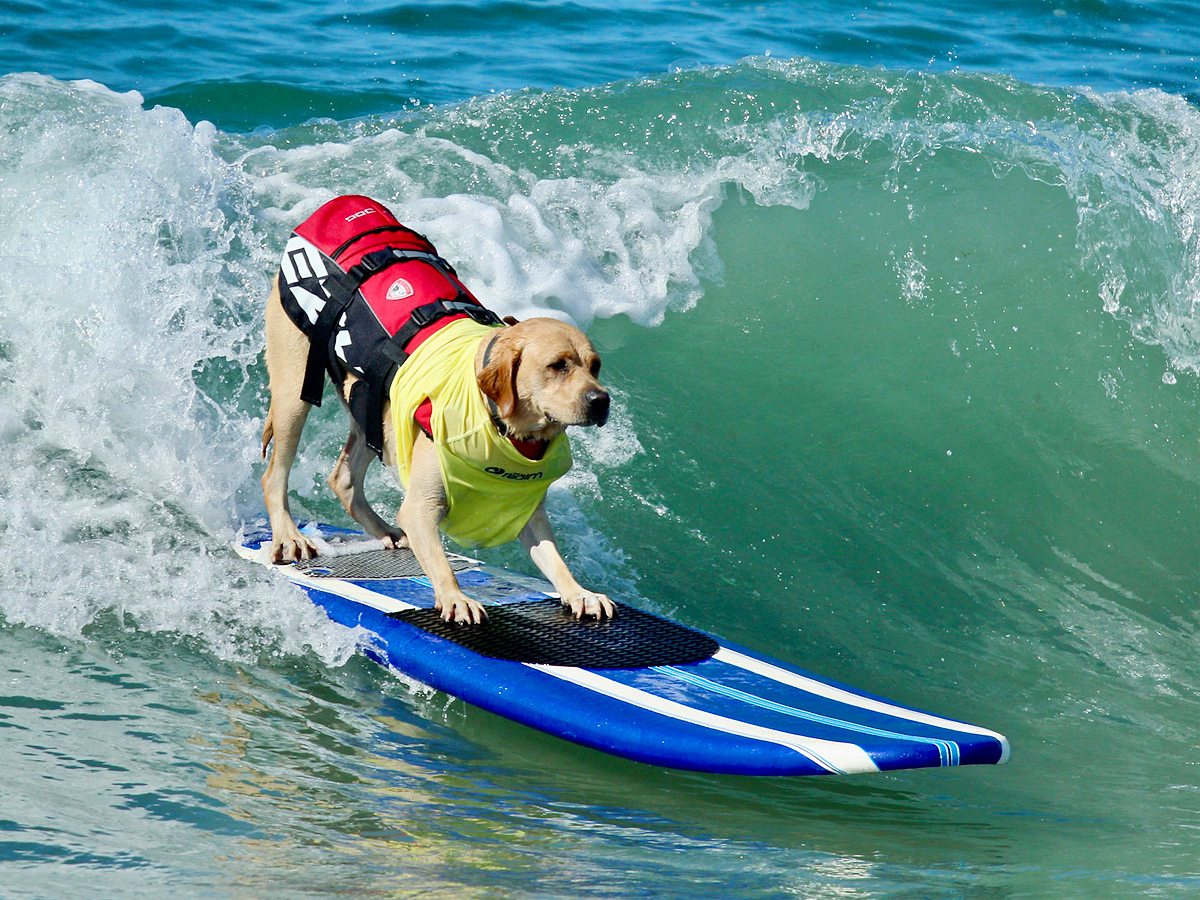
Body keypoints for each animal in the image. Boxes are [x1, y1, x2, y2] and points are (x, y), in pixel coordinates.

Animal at [264, 210, 619, 628]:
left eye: (595, 366)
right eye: (558, 365)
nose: (601, 401)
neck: (499, 423)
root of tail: (336, 208)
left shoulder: (528, 516)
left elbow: (555, 560)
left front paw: (579, 593)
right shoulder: (420, 508)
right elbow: (440, 562)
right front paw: (455, 597)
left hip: (369, 407)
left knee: (344, 479)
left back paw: (382, 530)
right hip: (293, 393)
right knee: (274, 474)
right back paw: (289, 535)